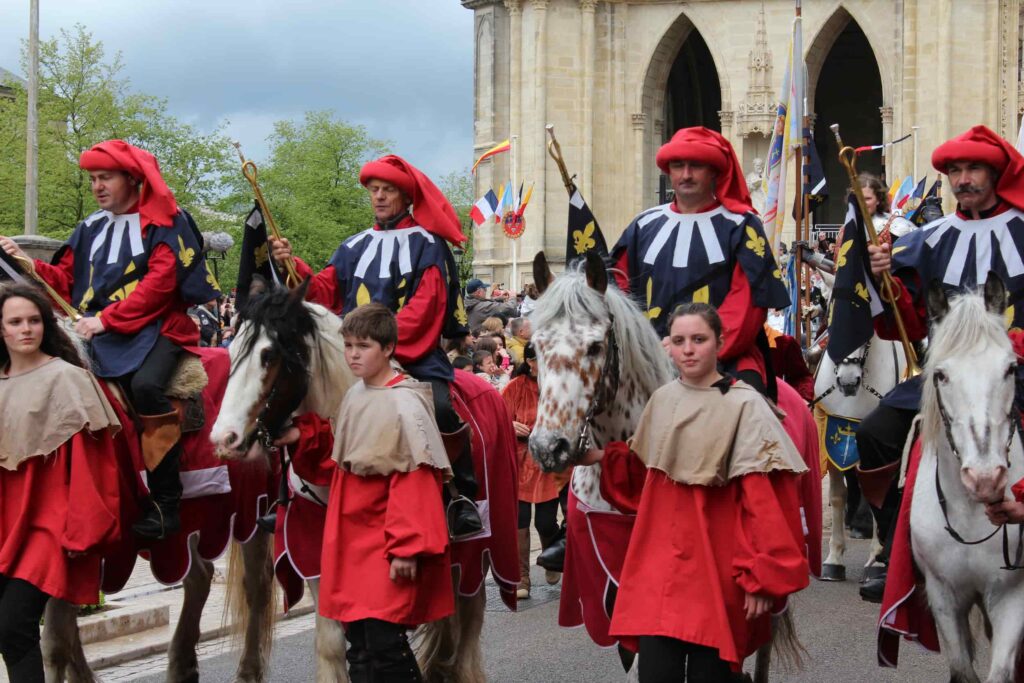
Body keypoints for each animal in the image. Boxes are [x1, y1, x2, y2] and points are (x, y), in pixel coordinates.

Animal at [39, 339, 280, 679]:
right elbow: (65, 635)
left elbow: (55, 641)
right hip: (193, 521)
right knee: (200, 577)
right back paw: (182, 664)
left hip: (253, 510)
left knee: (257, 584)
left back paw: (247, 670)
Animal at [214, 282, 520, 683]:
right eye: (231, 351)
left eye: (269, 355)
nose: (224, 438)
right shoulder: (316, 556)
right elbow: (332, 642)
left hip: (479, 549)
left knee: (469, 619)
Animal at [811, 333, 909, 581]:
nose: (848, 381)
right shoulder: (830, 436)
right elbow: (838, 496)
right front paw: (833, 560)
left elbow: (877, 496)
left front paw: (876, 560)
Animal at [905, 278, 1024, 683]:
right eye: (941, 375)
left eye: (1011, 369)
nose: (985, 478)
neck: (970, 512)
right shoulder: (944, 595)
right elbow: (962, 669)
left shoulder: (1011, 596)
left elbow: (1000, 671)